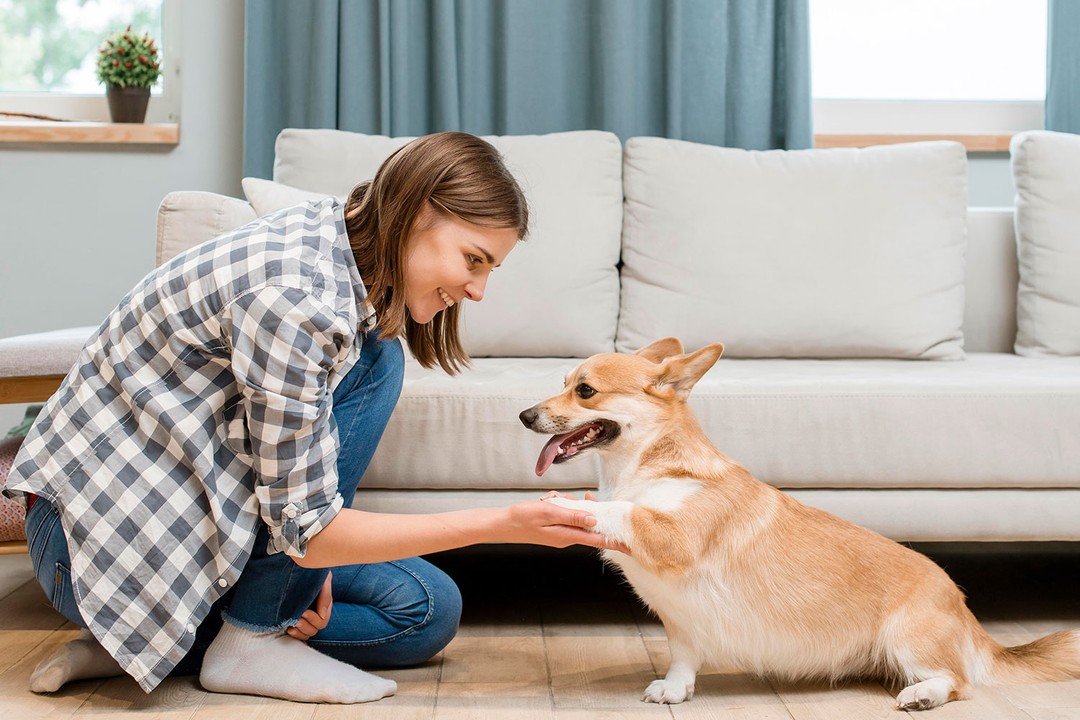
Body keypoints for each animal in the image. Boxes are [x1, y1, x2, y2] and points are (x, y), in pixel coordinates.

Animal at [518, 338, 1075, 708]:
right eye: (562, 383)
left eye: (585, 391)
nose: (524, 416)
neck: (643, 468)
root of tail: (965, 611)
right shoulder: (682, 622)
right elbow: (682, 658)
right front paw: (675, 690)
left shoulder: (673, 535)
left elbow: (622, 510)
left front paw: (568, 504)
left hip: (907, 637)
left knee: (957, 682)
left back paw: (922, 695)